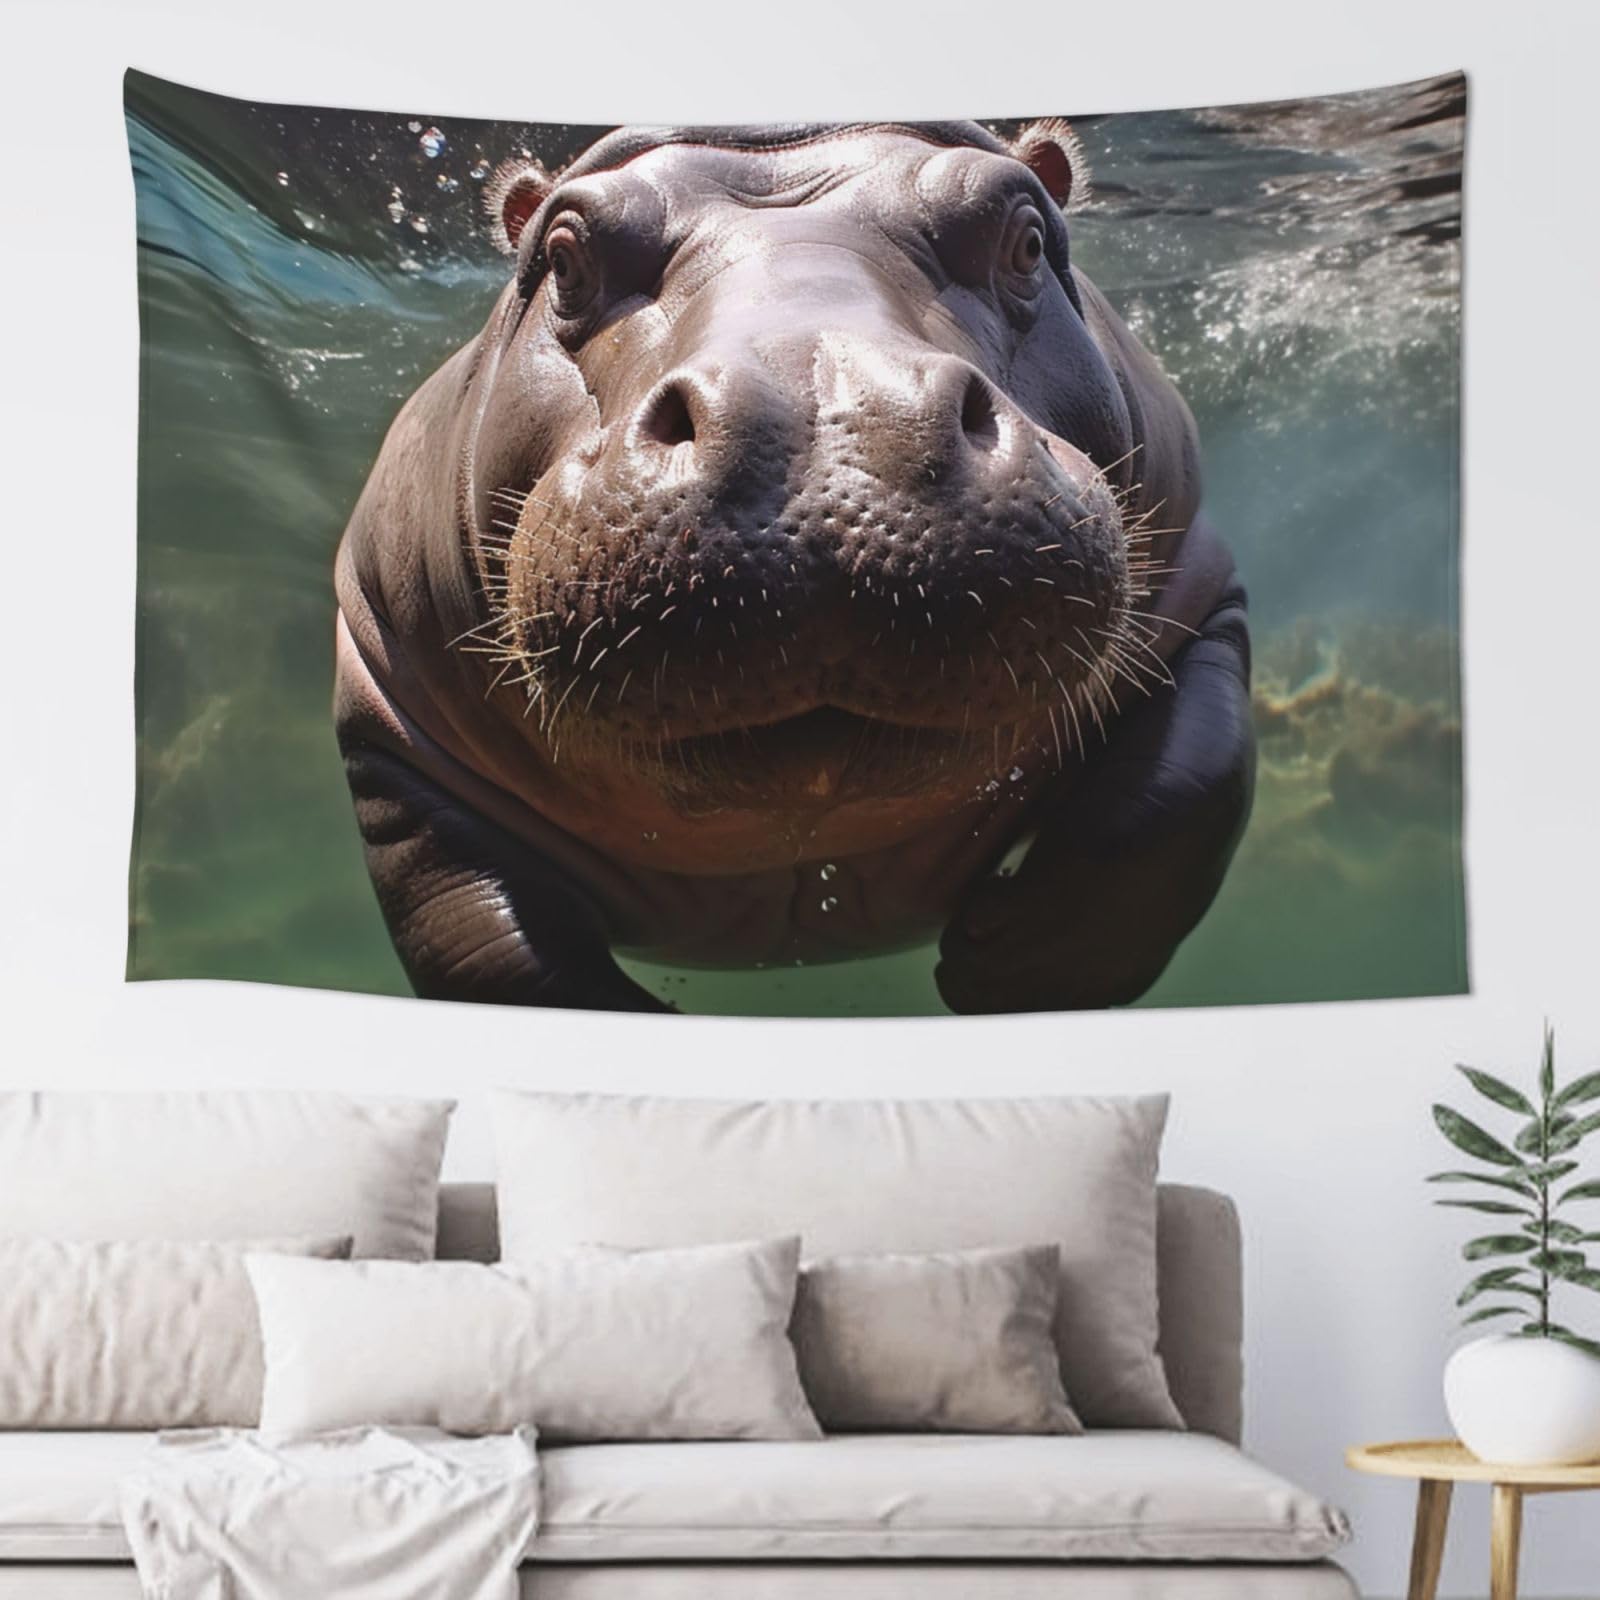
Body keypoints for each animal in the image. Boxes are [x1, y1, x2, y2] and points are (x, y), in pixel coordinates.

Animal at [333, 120, 1254, 1014]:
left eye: (1027, 239)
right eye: (563, 259)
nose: (820, 410)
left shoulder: (1201, 600)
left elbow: (1179, 795)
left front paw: (1007, 966)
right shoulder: (388, 709)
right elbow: (477, 935)